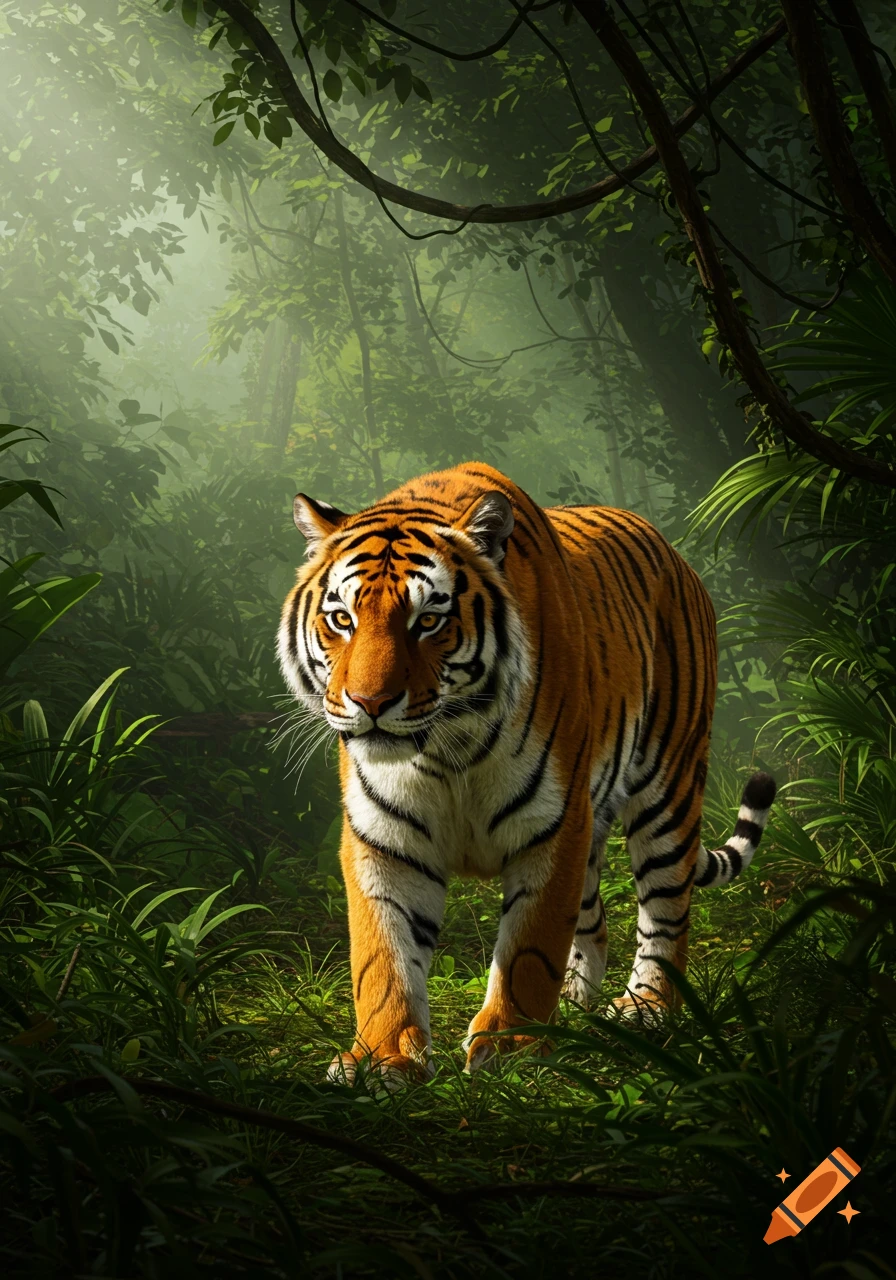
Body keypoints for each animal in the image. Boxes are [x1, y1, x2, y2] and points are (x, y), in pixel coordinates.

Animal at [278, 462, 776, 1082]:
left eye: (429, 621)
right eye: (342, 619)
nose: (369, 702)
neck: (447, 745)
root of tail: (676, 555)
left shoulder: (554, 825)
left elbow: (530, 948)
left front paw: (510, 1046)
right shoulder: (385, 838)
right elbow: (382, 957)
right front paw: (382, 1057)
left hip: (669, 786)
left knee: (666, 910)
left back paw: (647, 1007)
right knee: (595, 920)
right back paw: (574, 1009)